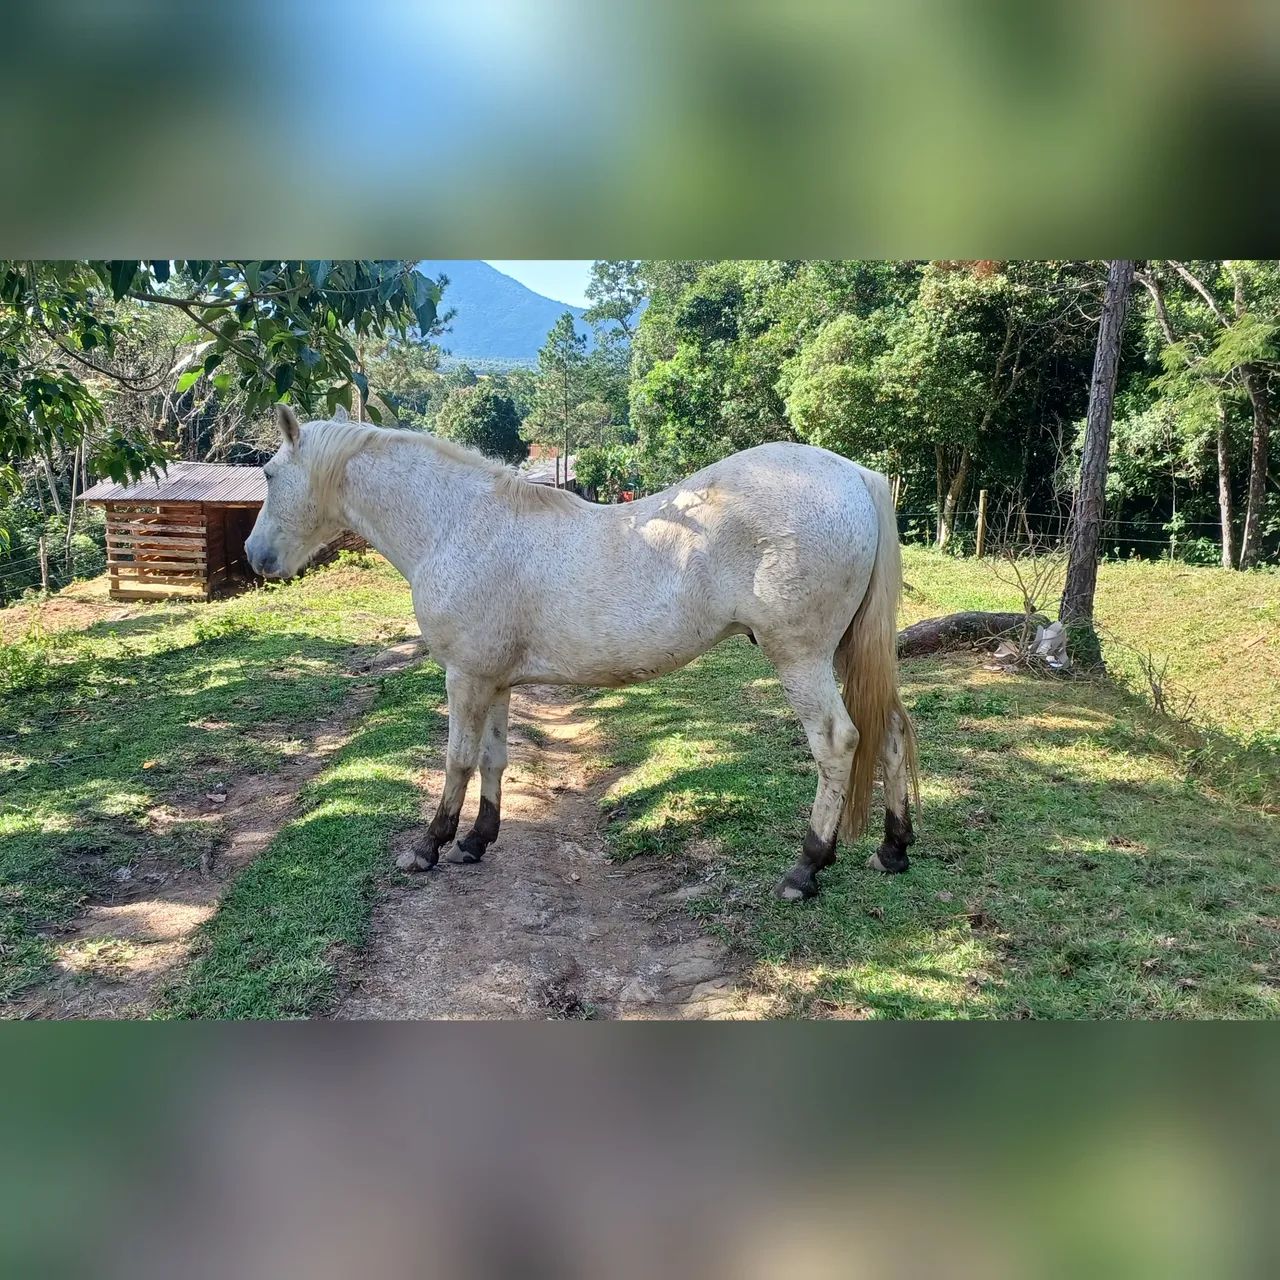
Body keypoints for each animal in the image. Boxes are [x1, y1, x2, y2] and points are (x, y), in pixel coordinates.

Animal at [246, 404, 919, 901]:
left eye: (270, 476)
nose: (255, 557)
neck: (458, 524)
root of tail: (854, 476)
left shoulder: (465, 678)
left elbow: (457, 760)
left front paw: (429, 846)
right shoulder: (495, 681)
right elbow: (493, 758)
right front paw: (476, 841)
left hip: (801, 658)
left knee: (838, 743)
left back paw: (806, 869)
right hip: (843, 653)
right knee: (888, 731)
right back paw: (893, 848)